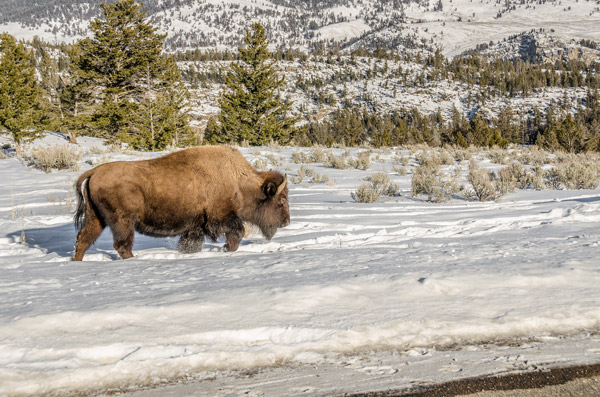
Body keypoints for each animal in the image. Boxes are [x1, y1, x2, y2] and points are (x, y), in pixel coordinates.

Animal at [71, 145, 290, 260]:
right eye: (281, 199)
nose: (286, 221)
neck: (238, 181)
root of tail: (94, 172)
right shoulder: (220, 218)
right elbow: (237, 232)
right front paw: (226, 249)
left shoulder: (195, 225)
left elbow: (191, 243)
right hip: (122, 221)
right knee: (121, 244)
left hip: (96, 217)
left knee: (84, 239)